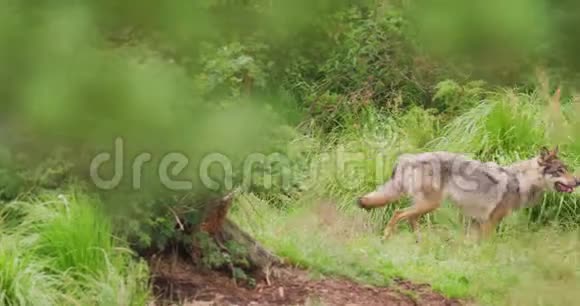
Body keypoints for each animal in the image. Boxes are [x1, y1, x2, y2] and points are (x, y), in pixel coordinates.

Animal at [356, 146, 576, 241]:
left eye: (567, 169)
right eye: (560, 171)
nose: (578, 181)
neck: (520, 182)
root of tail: (408, 158)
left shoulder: (477, 222)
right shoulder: (490, 222)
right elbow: (489, 247)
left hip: (425, 206)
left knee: (410, 219)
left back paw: (420, 243)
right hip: (429, 205)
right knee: (398, 214)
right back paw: (386, 238)